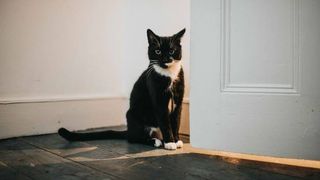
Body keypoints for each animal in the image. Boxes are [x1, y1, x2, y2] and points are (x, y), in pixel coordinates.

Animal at [58, 28, 186, 150]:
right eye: (158, 51)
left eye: (172, 51)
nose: (165, 60)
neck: (169, 74)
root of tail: (128, 129)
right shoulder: (158, 101)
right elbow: (165, 122)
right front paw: (170, 143)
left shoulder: (178, 101)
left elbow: (176, 121)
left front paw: (176, 140)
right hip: (133, 115)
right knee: (133, 138)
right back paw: (156, 141)